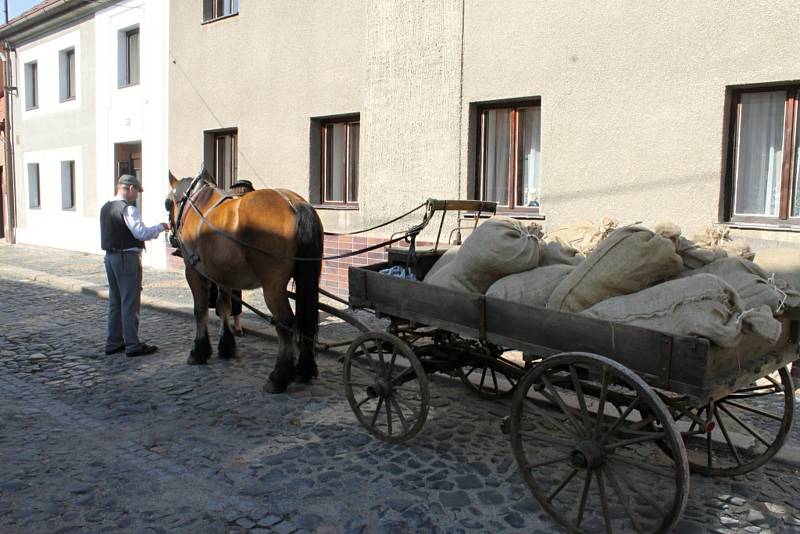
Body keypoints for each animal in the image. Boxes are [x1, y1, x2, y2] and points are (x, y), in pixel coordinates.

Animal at [166, 172, 324, 394]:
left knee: (285, 323)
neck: (198, 205)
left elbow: (200, 310)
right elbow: (224, 307)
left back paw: (279, 377)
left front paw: (199, 351)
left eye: (166, 204)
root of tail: (294, 203)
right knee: (305, 321)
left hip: (273, 287)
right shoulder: (223, 276)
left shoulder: (194, 273)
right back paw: (304, 370)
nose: (171, 238)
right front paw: (226, 346)